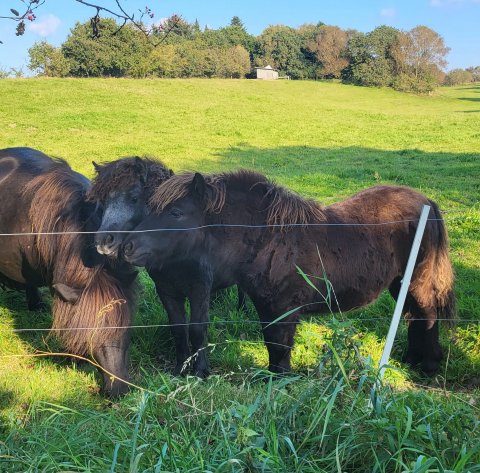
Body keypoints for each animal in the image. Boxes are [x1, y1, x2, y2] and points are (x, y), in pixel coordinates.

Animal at [122, 170, 456, 376]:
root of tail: (426, 202)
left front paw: (281, 382)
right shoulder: (266, 307)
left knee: (426, 314)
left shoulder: (284, 309)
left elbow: (280, 348)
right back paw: (412, 359)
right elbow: (271, 344)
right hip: (400, 283)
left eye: (176, 213)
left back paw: (428, 364)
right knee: (414, 315)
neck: (272, 238)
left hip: (418, 281)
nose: (126, 246)